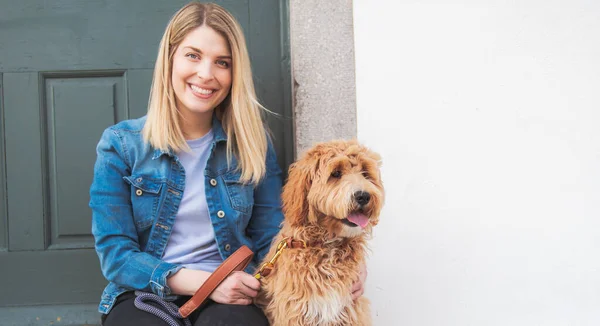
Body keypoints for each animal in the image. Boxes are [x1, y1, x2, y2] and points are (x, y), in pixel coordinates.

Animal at [258, 139, 384, 326]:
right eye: (336, 173)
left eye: (365, 173)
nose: (363, 196)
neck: (326, 245)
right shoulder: (294, 312)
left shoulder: (351, 311)